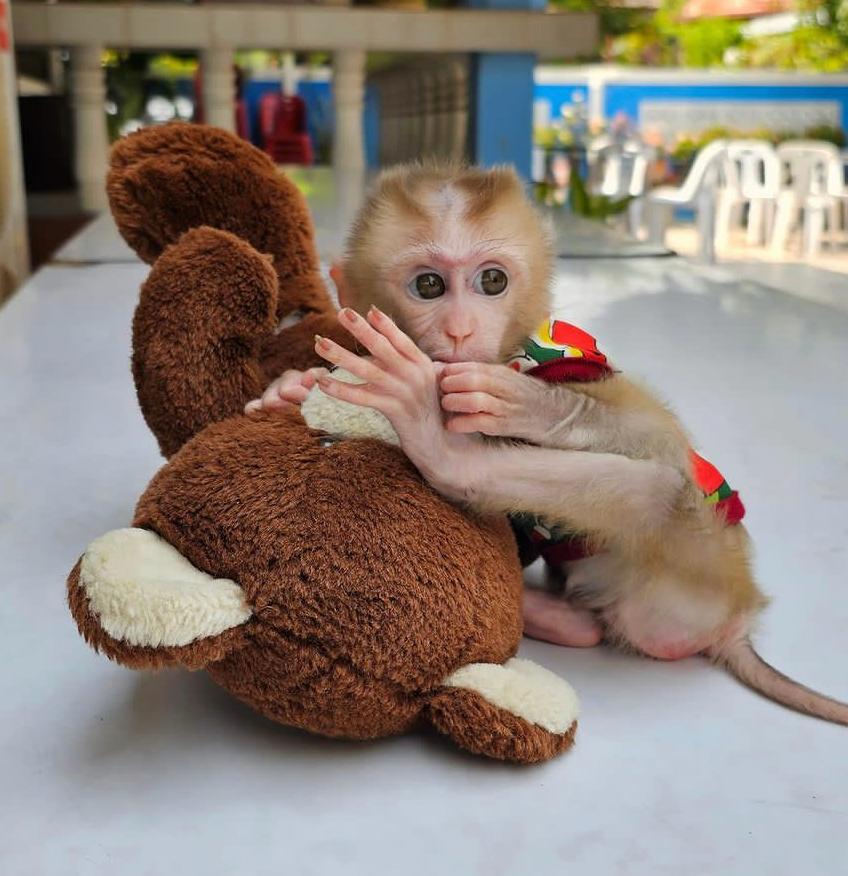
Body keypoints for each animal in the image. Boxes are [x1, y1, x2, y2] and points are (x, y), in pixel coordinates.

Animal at [247, 161, 848, 725]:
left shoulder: (567, 357)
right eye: (429, 286)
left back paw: (443, 449)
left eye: (492, 281)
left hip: (687, 582)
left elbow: (658, 439)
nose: (462, 330)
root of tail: (737, 617)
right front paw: (290, 388)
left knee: (658, 490)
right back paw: (555, 616)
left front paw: (522, 404)